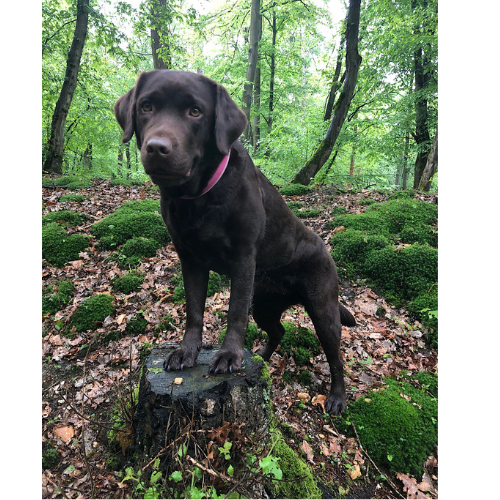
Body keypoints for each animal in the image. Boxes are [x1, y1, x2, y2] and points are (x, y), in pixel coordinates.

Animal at [114, 69, 356, 414]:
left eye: (195, 111)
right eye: (146, 106)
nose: (157, 147)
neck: (199, 198)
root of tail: (325, 248)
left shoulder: (243, 259)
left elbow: (234, 312)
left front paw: (228, 356)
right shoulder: (190, 260)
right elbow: (194, 310)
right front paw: (187, 352)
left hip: (323, 309)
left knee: (336, 356)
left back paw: (337, 397)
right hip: (265, 305)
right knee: (278, 330)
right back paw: (262, 359)